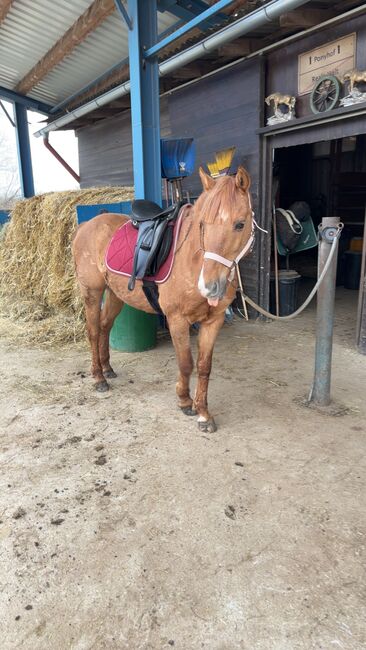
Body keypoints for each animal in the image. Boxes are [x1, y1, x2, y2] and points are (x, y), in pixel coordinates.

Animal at [72, 167, 253, 430]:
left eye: (240, 224)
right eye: (202, 224)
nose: (209, 287)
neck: (192, 259)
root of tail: (87, 225)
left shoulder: (214, 321)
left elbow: (204, 366)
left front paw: (204, 413)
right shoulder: (177, 319)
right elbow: (186, 363)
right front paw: (185, 402)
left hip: (115, 294)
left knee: (105, 327)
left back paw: (107, 369)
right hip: (92, 293)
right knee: (94, 331)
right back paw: (98, 378)